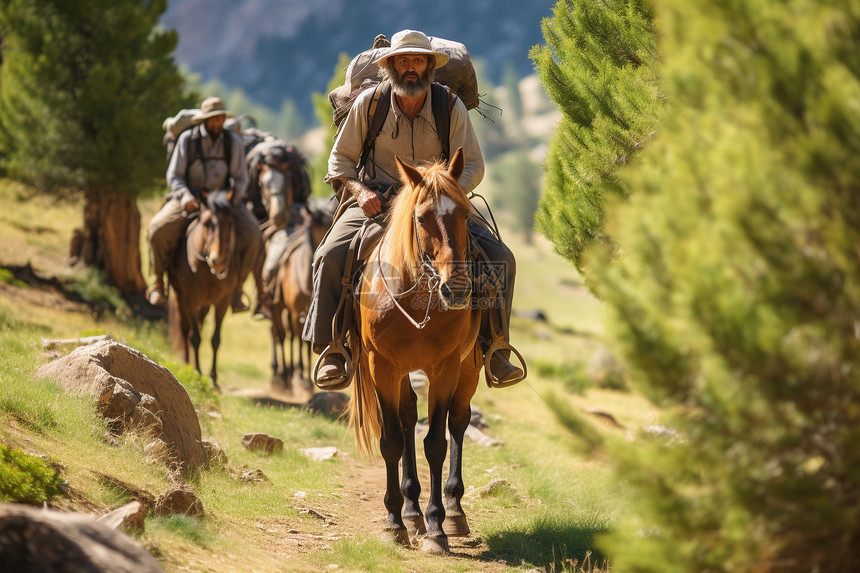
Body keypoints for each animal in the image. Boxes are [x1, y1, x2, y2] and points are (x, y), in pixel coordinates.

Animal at [167, 188, 239, 388]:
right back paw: (186, 364)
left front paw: (213, 379)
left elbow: (215, 339)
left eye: (230, 223)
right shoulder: (190, 299)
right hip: (180, 298)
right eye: (207, 224)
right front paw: (197, 373)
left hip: (205, 305)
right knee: (186, 330)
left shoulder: (222, 302)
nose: (218, 260)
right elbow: (195, 337)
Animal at [272, 199, 332, 392]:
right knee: (281, 334)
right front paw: (297, 376)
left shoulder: (312, 313)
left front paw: (306, 380)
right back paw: (282, 376)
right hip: (277, 307)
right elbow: (297, 339)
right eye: (314, 228)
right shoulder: (295, 311)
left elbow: (307, 341)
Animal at [350, 150, 484, 552]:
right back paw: (411, 512)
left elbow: (436, 443)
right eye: (421, 218)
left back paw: (454, 512)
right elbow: (392, 440)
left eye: (464, 214)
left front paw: (437, 527)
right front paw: (395, 522)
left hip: (470, 367)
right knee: (408, 416)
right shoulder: (382, 366)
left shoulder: (444, 368)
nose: (457, 290)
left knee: (459, 420)